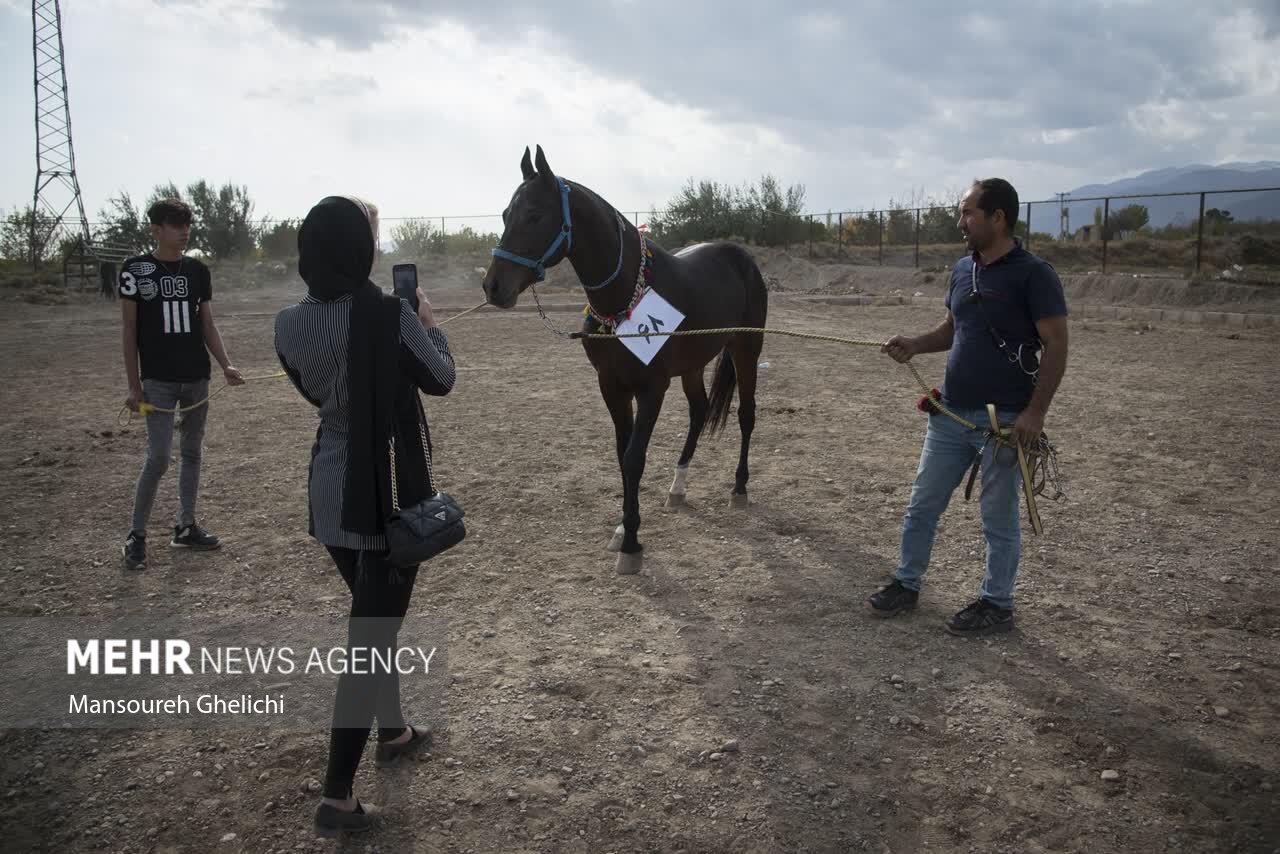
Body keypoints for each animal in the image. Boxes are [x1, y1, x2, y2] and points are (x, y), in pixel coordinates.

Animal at [478, 147, 757, 573]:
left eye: (535, 215)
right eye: (507, 214)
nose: (493, 286)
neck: (626, 296)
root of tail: (739, 255)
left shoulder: (652, 389)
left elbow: (634, 458)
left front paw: (631, 545)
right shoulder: (611, 386)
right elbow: (621, 455)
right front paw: (625, 528)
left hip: (746, 349)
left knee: (746, 414)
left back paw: (739, 488)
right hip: (694, 365)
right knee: (698, 411)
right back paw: (678, 488)